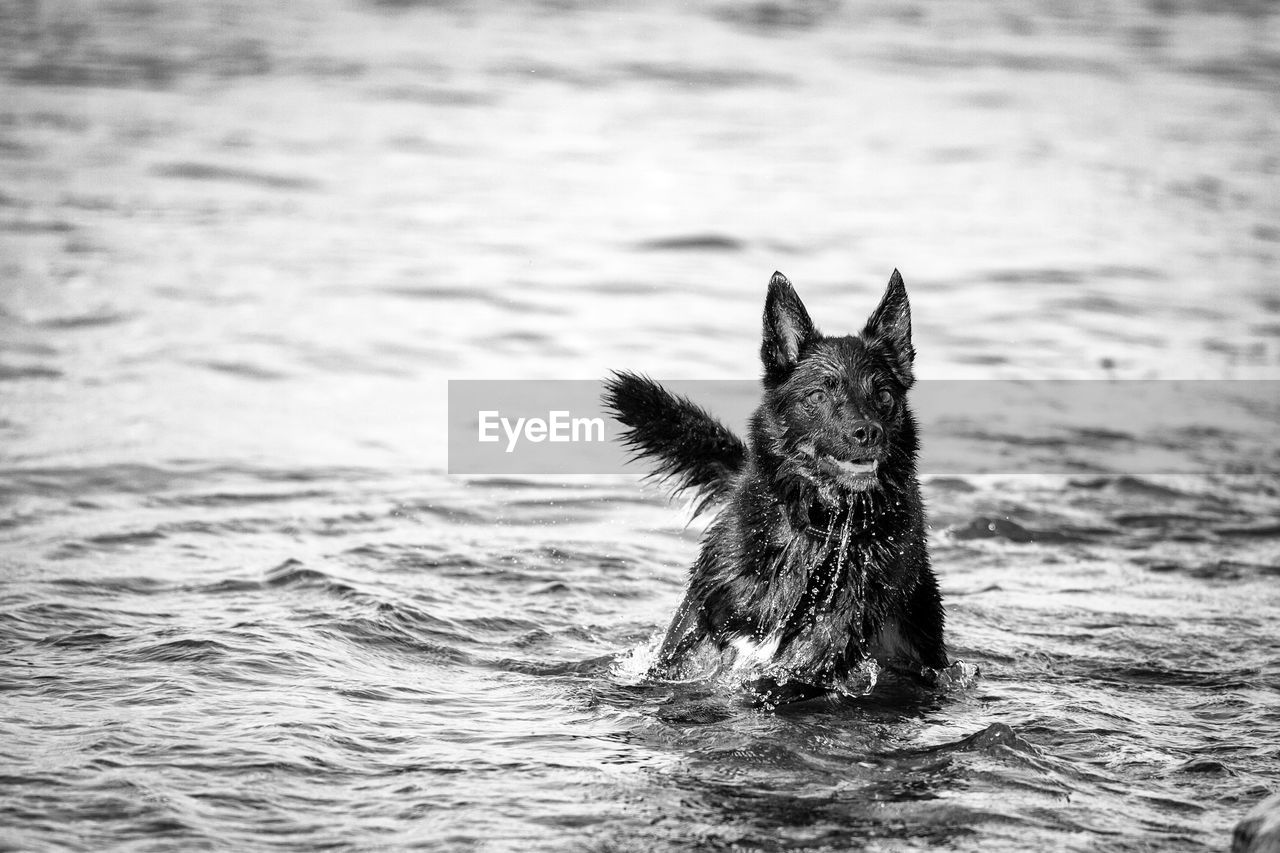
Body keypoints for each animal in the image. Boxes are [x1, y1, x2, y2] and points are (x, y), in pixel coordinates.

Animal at [604, 268, 947, 701]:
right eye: (818, 395)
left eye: (883, 394)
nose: (868, 432)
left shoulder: (825, 640)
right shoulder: (705, 620)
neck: (817, 524)